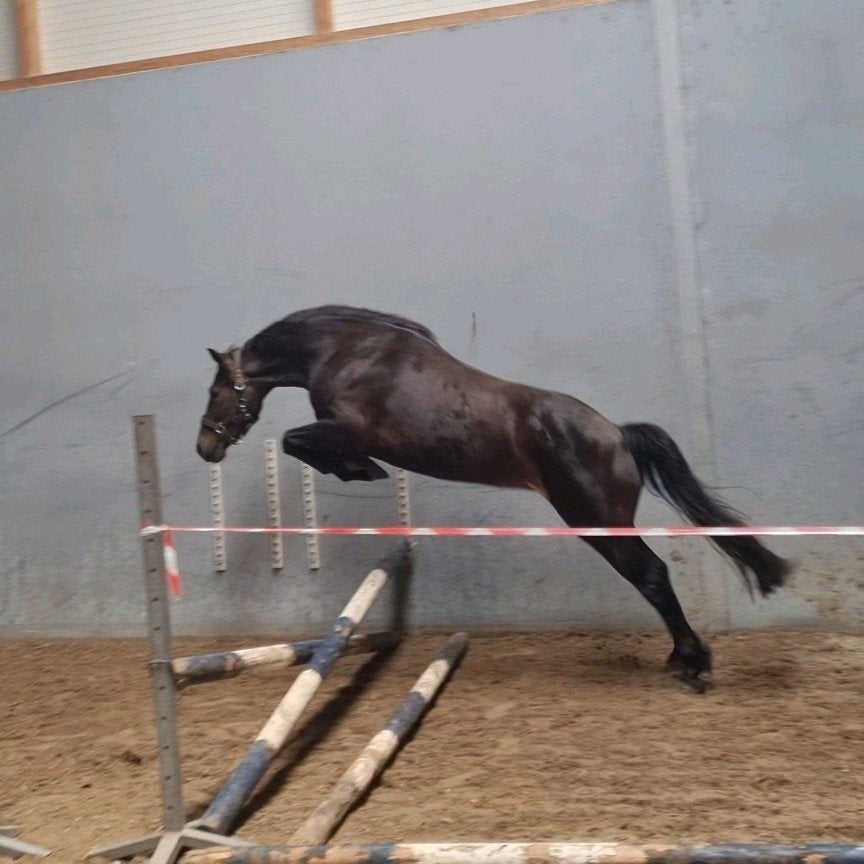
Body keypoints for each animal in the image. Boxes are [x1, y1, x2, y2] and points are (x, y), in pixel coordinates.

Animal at [196, 304, 791, 691]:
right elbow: (298, 443)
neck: (346, 351)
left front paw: (359, 470)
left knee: (651, 575)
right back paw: (682, 658)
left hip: (595, 521)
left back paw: (692, 663)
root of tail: (618, 435)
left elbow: (295, 440)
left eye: (217, 390)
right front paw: (358, 471)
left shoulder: (344, 427)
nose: (206, 447)